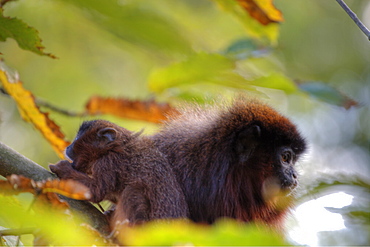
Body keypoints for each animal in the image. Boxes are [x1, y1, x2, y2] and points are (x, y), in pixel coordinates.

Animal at [48, 119, 188, 228]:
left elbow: (96, 192)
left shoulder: (108, 162)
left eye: (77, 138)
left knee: (132, 191)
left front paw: (62, 168)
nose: (68, 147)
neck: (113, 148)